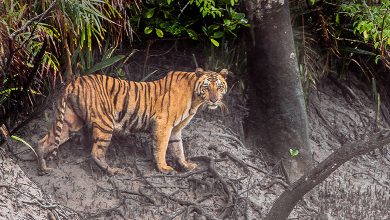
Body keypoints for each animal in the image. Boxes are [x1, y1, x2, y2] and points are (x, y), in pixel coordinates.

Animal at [36, 67, 229, 175]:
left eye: (219, 87)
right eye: (207, 87)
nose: (214, 100)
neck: (195, 99)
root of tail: (75, 81)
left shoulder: (175, 130)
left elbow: (178, 149)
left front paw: (186, 165)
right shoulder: (163, 124)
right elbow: (162, 148)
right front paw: (164, 168)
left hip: (70, 120)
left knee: (44, 141)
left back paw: (42, 167)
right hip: (105, 123)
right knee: (96, 152)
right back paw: (112, 171)